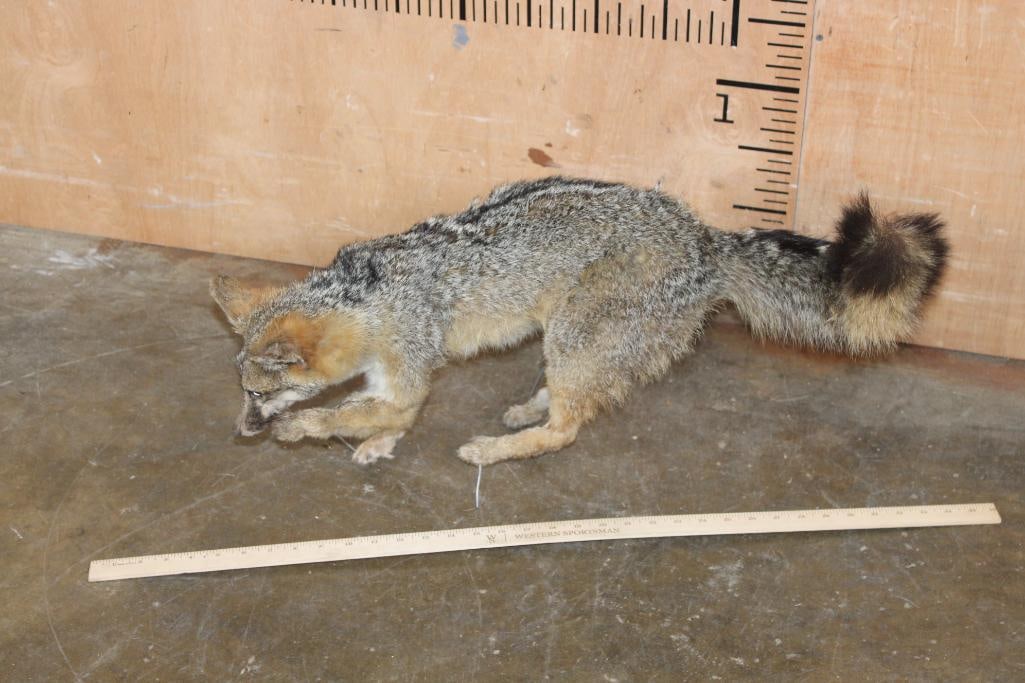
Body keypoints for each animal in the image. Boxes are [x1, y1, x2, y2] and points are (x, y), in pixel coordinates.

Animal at [210, 176, 948, 466]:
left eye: (256, 394)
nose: (240, 431)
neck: (371, 294)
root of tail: (704, 238)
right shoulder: (389, 379)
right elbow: (378, 413)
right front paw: (378, 442)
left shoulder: (407, 373)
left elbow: (353, 411)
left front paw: (307, 429)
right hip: (567, 339)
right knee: (571, 400)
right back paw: (527, 408)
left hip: (572, 334)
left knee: (567, 429)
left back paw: (499, 447)